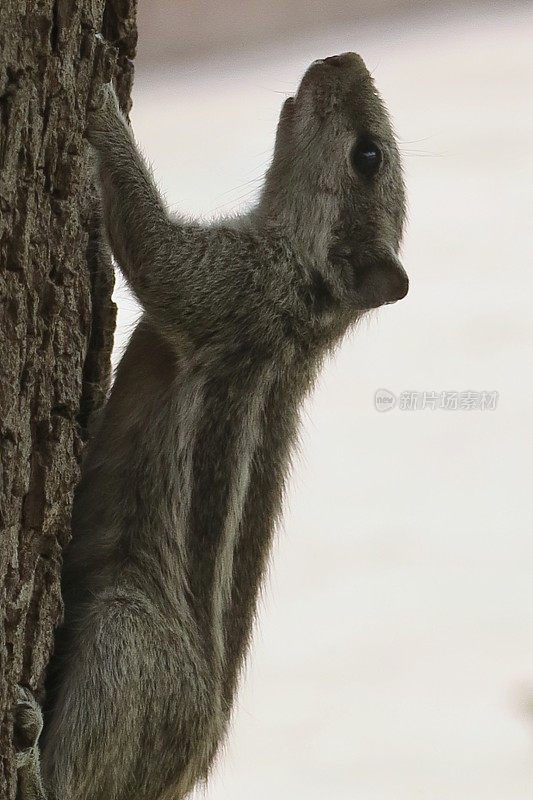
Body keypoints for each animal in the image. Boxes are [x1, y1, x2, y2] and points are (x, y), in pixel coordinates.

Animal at [15, 51, 408, 800]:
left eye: (367, 156)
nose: (343, 57)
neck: (304, 293)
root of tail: (184, 769)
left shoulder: (224, 286)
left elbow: (153, 247)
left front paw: (104, 112)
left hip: (127, 635)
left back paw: (28, 765)